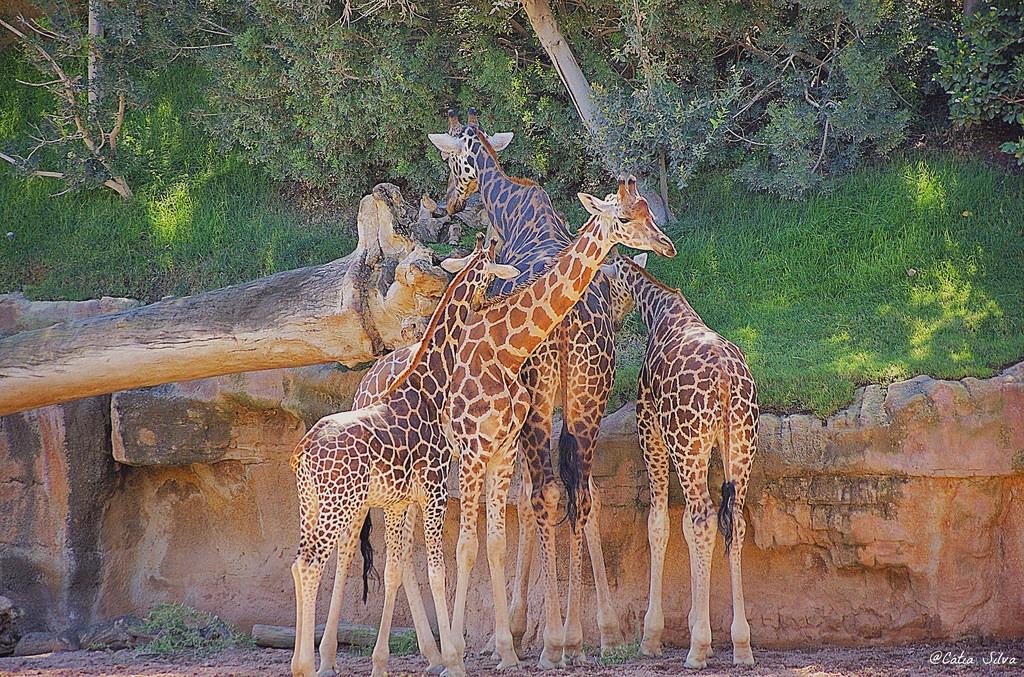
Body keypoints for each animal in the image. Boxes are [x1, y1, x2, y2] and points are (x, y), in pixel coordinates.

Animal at [288, 235, 521, 677]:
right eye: (492, 272)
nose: (499, 297)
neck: (429, 386)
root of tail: (303, 454)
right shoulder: (434, 489)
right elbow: (437, 570)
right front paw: (453, 659)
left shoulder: (398, 501)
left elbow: (398, 568)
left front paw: (392, 662)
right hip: (338, 505)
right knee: (313, 564)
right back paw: (307, 665)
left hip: (312, 505)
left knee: (301, 563)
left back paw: (303, 661)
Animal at [428, 109, 640, 667]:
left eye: (448, 161)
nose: (450, 203)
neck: (514, 211)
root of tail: (571, 324)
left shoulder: (519, 415)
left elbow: (523, 502)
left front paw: (519, 630)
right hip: (590, 394)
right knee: (580, 491)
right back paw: (596, 632)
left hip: (544, 400)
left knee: (545, 494)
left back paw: (553, 641)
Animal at [602, 254, 758, 669]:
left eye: (604, 284)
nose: (612, 320)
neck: (660, 310)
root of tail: (724, 381)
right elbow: (686, 526)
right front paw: (694, 622)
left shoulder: (650, 430)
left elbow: (660, 524)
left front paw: (652, 635)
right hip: (740, 443)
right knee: (733, 521)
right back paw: (742, 645)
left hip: (688, 444)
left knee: (705, 517)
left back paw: (698, 649)